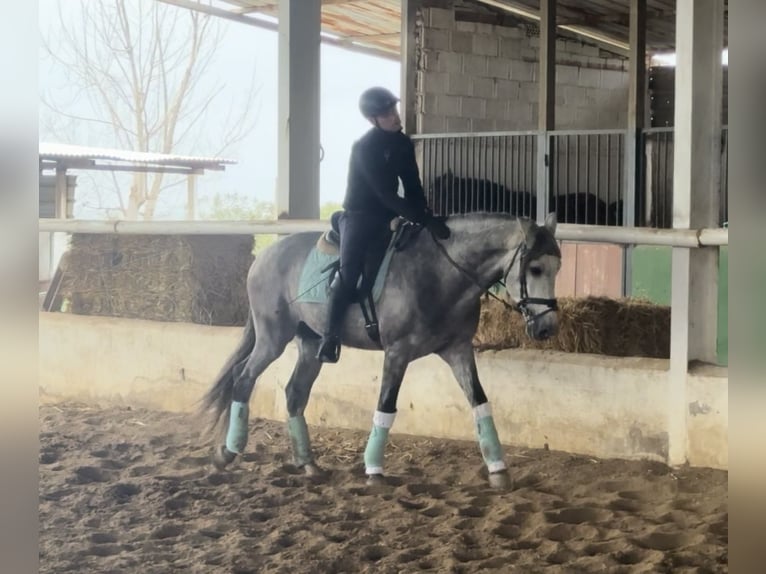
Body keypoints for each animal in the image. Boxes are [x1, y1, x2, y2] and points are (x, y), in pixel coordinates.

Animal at [201, 212, 561, 489]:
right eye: (535, 269)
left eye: (556, 268)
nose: (547, 328)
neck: (438, 273)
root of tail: (265, 255)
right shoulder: (397, 352)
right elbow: (385, 406)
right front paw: (373, 470)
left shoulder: (458, 350)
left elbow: (480, 403)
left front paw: (499, 470)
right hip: (272, 337)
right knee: (243, 378)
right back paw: (227, 453)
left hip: (310, 342)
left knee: (294, 392)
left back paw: (308, 464)